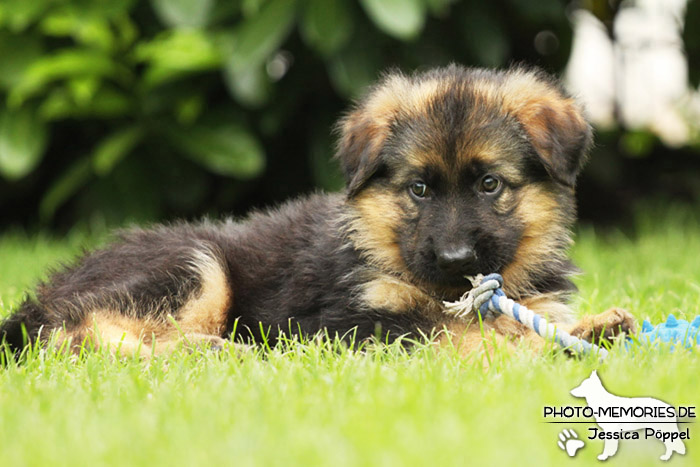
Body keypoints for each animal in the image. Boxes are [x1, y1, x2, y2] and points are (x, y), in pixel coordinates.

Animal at [0, 65, 636, 358]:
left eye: (488, 184)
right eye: (419, 190)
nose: (458, 259)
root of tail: (43, 292)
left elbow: (525, 319)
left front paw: (593, 328)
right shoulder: (343, 323)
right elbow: (449, 334)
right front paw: (528, 349)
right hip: (194, 263)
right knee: (78, 333)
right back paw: (212, 350)